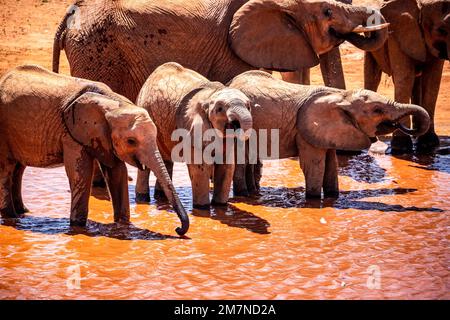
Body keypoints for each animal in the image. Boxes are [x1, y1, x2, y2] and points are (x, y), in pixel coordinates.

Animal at [0, 65, 189, 235]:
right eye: (131, 141)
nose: (178, 229)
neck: (114, 103)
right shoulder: (72, 135)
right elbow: (81, 173)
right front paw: (78, 228)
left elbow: (117, 172)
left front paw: (123, 226)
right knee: (7, 168)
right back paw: (10, 216)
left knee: (18, 168)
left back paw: (23, 212)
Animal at [134, 62, 253, 209]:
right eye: (219, 109)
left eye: (248, 106)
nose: (236, 124)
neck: (211, 95)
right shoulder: (190, 130)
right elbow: (200, 168)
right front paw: (202, 208)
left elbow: (227, 167)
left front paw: (220, 206)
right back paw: (143, 198)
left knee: (166, 160)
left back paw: (161, 197)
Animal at [230, 71, 430, 199]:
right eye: (377, 110)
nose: (411, 190)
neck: (342, 96)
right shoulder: (306, 132)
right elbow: (314, 165)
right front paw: (313, 199)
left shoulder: (330, 132)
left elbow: (331, 165)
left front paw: (333, 197)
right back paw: (244, 195)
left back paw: (253, 193)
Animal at [364, 0, 448, 154]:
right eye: (441, 30)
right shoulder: (396, 35)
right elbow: (405, 77)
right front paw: (401, 148)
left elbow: (432, 81)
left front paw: (429, 145)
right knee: (373, 76)